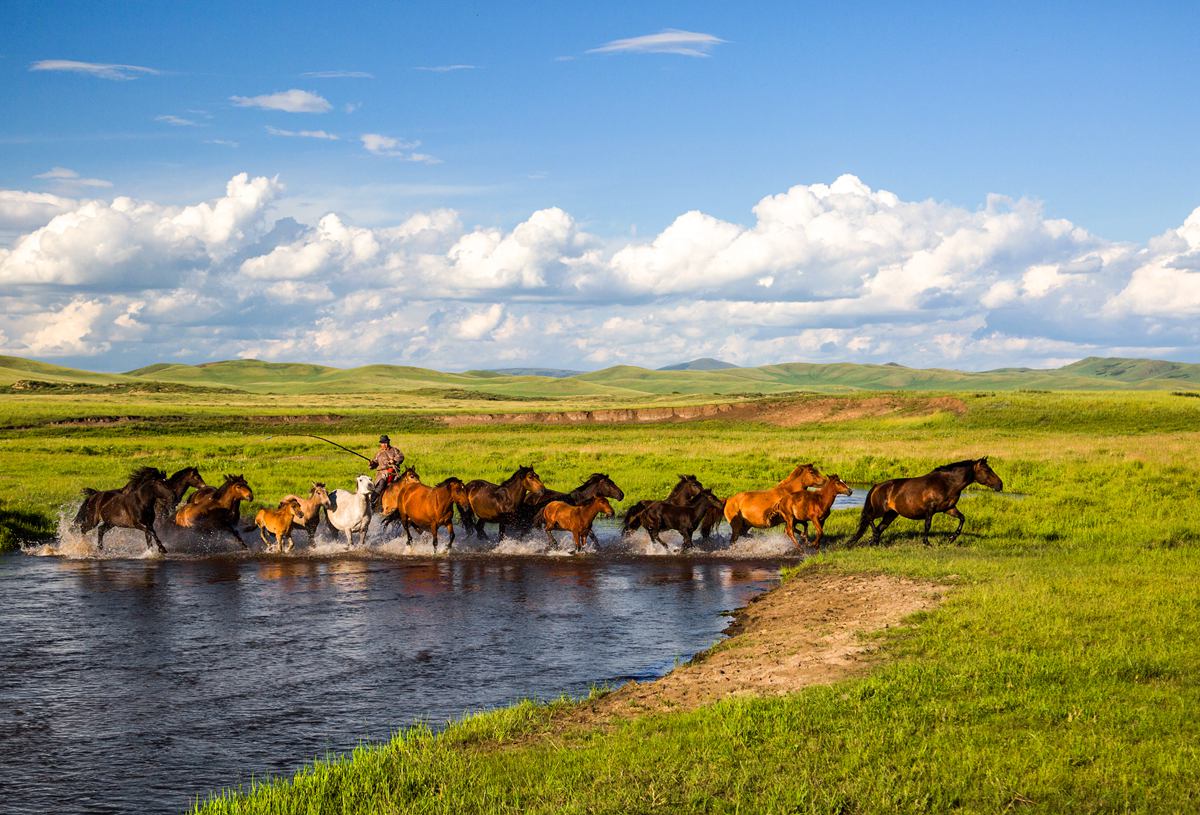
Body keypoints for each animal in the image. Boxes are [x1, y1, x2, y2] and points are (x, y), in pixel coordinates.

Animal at [849, 458, 1008, 547]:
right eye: (987, 470)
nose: (1000, 485)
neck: (947, 483)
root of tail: (877, 486)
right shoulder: (930, 510)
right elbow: (927, 525)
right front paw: (927, 542)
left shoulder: (949, 508)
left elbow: (962, 519)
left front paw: (951, 539)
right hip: (880, 510)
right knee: (870, 519)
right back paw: (874, 537)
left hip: (891, 514)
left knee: (880, 526)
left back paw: (874, 541)